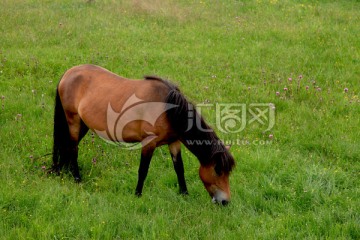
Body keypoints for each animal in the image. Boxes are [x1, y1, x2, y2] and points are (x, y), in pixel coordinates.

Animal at [51, 63, 236, 204]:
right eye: (218, 170)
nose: (225, 201)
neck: (168, 108)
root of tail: (68, 73)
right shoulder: (149, 143)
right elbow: (143, 170)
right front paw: (137, 195)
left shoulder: (174, 142)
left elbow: (179, 169)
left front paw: (184, 194)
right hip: (73, 121)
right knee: (73, 149)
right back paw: (77, 179)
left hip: (83, 124)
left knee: (67, 147)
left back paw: (63, 171)